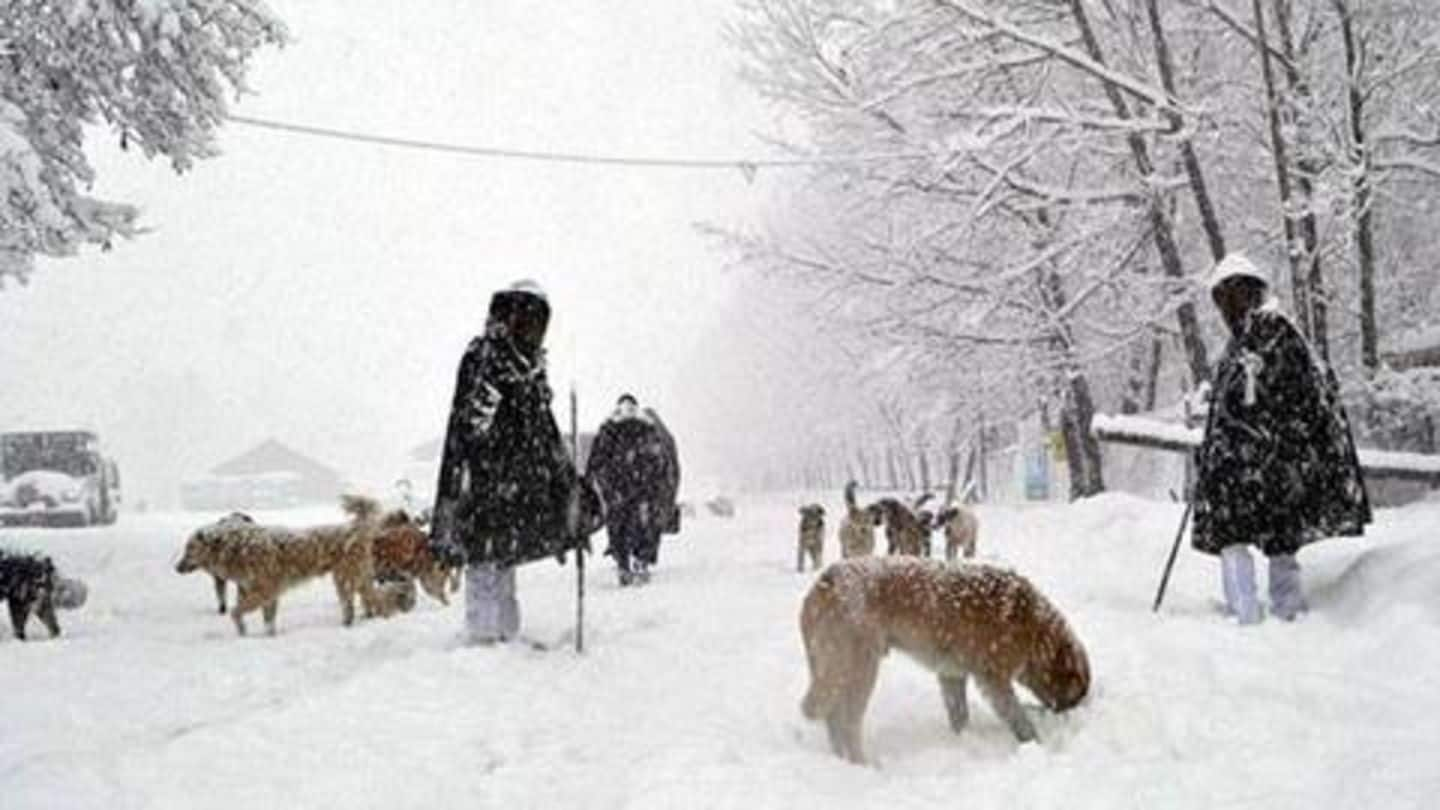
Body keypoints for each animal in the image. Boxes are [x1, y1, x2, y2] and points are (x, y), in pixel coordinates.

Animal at [800, 559, 1088, 760]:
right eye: (1076, 696)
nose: (1070, 715)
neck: (1033, 628)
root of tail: (823, 584)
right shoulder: (993, 679)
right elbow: (1017, 717)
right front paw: (1035, 743)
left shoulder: (952, 674)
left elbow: (959, 714)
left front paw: (962, 741)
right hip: (859, 668)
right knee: (847, 723)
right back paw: (862, 765)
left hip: (835, 670)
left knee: (833, 719)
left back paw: (840, 761)